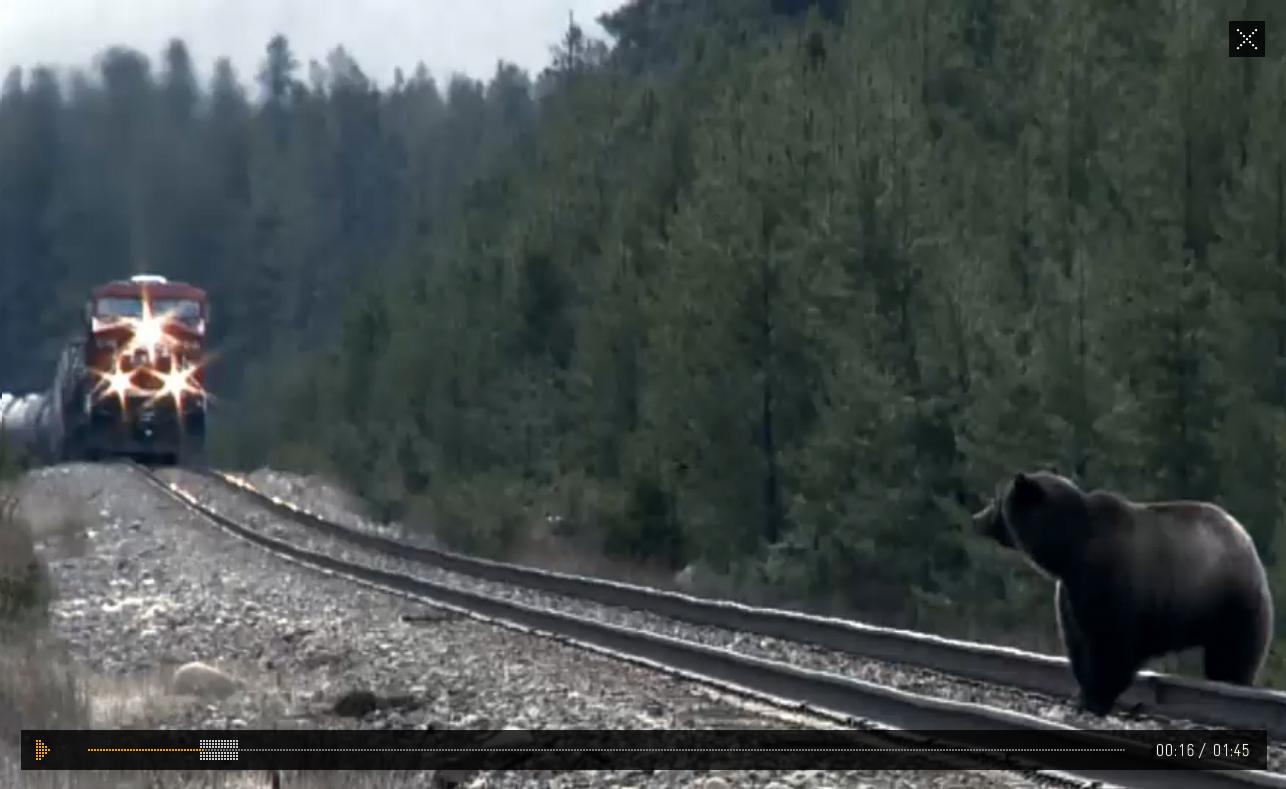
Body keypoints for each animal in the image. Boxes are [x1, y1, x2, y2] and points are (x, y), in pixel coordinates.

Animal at [972, 470, 1273, 716]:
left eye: (997, 500)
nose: (977, 518)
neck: (1069, 549)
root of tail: (1248, 542)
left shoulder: (1109, 579)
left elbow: (1111, 644)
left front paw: (1094, 699)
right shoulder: (1072, 589)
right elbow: (1077, 638)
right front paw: (1080, 694)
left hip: (1232, 603)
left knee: (1232, 657)